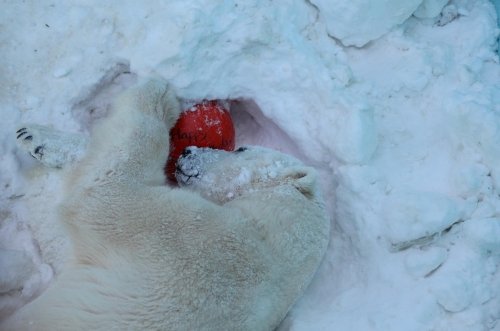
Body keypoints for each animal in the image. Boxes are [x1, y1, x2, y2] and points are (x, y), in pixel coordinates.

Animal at [4, 78, 332, 331]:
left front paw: (159, 91)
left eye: (241, 148)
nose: (188, 151)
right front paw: (33, 137)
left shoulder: (194, 246)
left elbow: (105, 191)